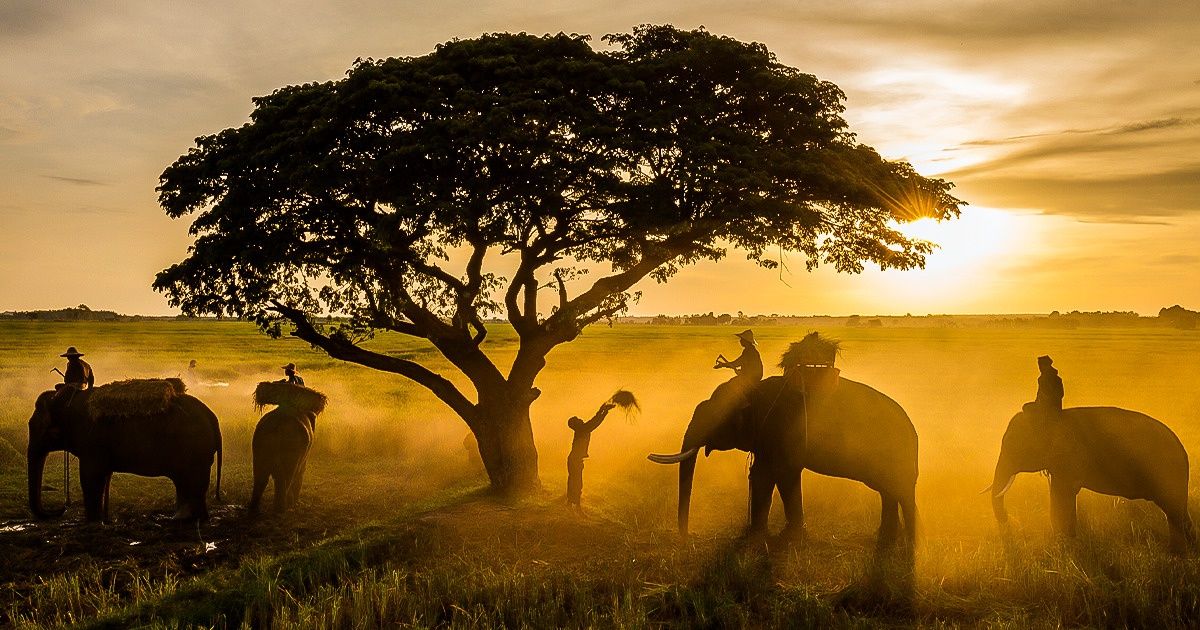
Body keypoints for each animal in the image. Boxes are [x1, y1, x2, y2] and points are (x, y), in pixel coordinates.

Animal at [26, 381, 223, 523]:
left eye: (37, 428)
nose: (61, 509)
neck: (68, 399)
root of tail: (212, 417)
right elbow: (101, 475)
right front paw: (102, 519)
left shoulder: (92, 441)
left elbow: (90, 477)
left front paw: (92, 522)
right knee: (186, 483)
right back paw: (185, 519)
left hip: (195, 450)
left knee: (192, 482)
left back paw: (188, 520)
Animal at [248, 381, 326, 513]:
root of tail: (277, 426)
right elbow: (300, 472)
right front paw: (295, 504)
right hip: (292, 447)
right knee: (286, 476)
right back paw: (282, 509)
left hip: (259, 445)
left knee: (261, 477)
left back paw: (254, 509)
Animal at [648, 369, 916, 544]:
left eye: (715, 418)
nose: (690, 535)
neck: (752, 393)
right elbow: (765, 475)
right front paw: (762, 535)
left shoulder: (780, 431)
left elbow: (777, 474)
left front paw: (778, 537)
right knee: (887, 492)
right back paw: (886, 538)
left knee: (901, 492)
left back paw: (910, 542)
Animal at [988, 408, 1195, 549]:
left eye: (1013, 445)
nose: (1008, 520)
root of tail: (1182, 448)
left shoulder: (1068, 460)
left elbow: (1062, 494)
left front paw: (1064, 543)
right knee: (1179, 512)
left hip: (1167, 473)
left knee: (1173, 512)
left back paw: (1176, 553)